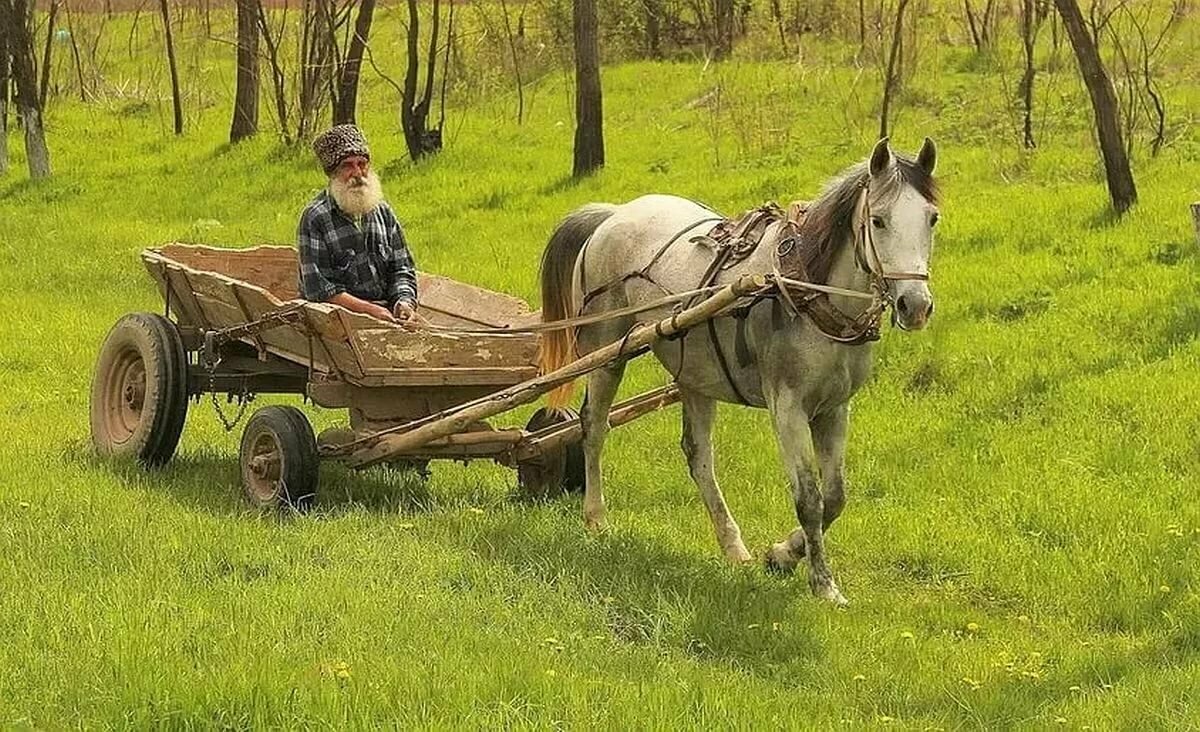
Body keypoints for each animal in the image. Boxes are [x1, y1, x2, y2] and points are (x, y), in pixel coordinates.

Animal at [540, 138, 940, 604]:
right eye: (878, 220)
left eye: (932, 218)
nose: (915, 305)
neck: (806, 293)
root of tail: (613, 214)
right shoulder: (787, 408)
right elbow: (809, 499)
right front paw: (822, 584)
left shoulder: (835, 408)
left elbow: (835, 496)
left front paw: (782, 555)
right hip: (608, 354)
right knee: (594, 427)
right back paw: (596, 517)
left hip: (694, 372)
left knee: (698, 455)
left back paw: (733, 545)